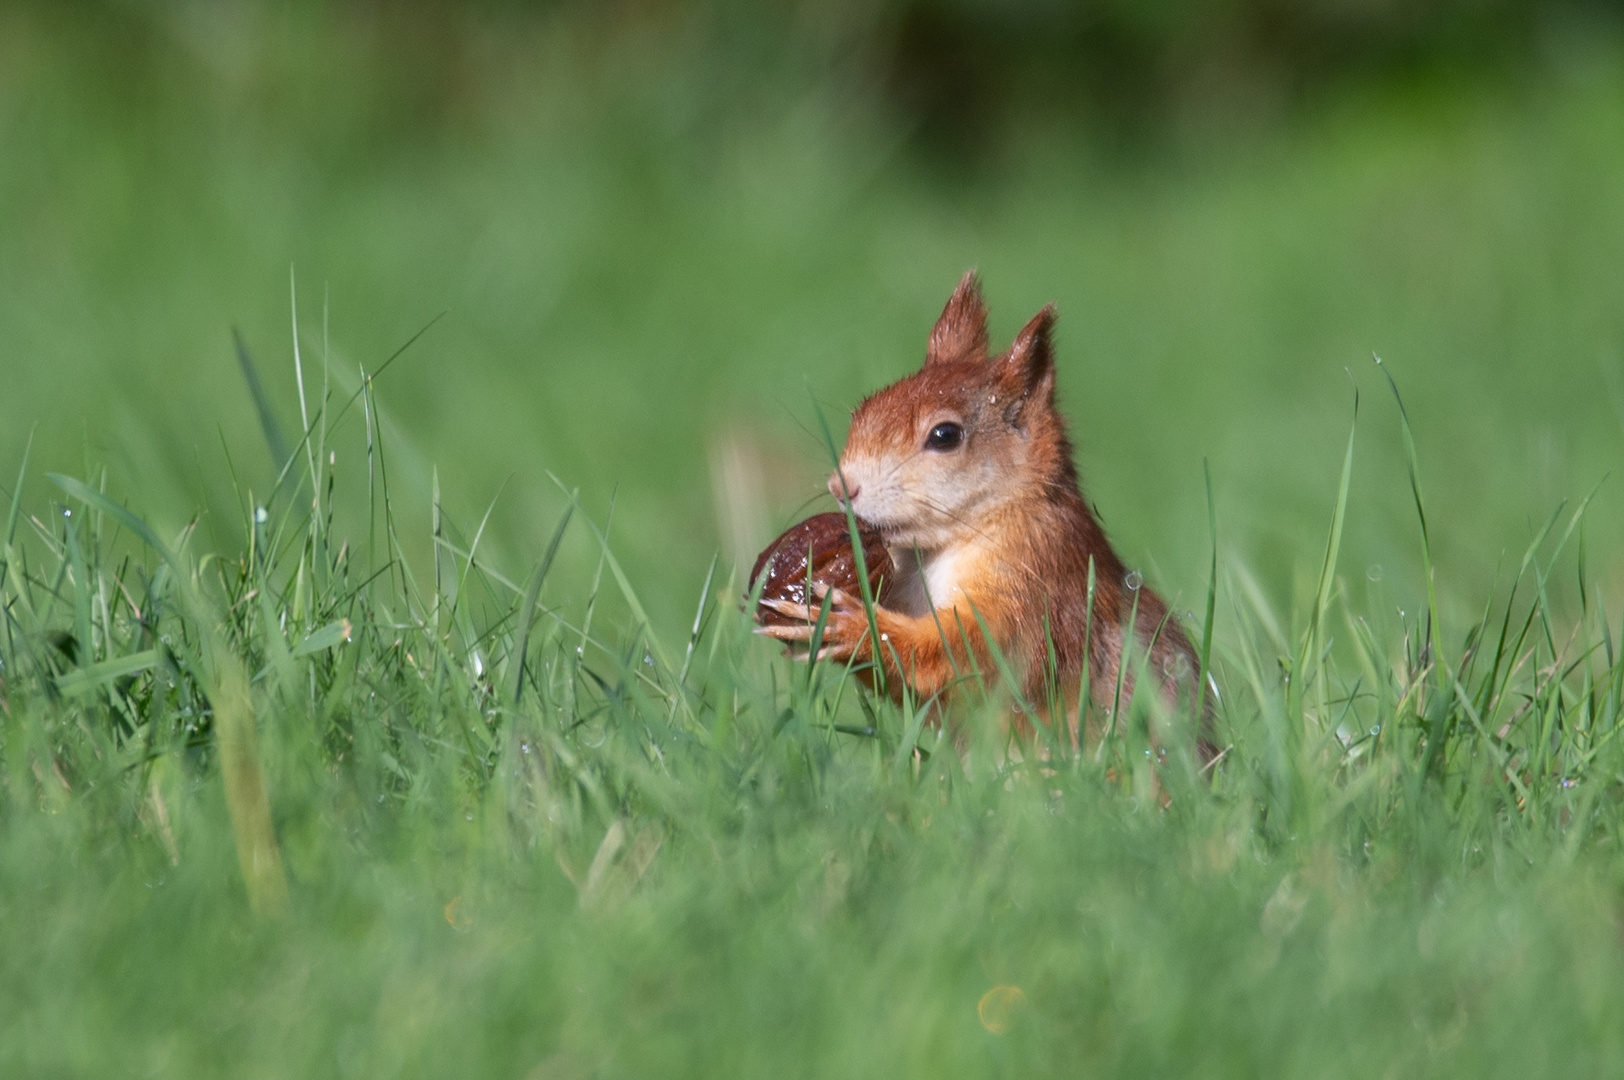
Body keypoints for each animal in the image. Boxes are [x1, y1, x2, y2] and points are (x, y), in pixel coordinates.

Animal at [760, 269, 1221, 756]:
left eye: (945, 435)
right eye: (863, 409)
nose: (841, 486)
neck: (944, 544)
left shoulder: (1040, 590)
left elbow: (975, 657)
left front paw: (852, 626)